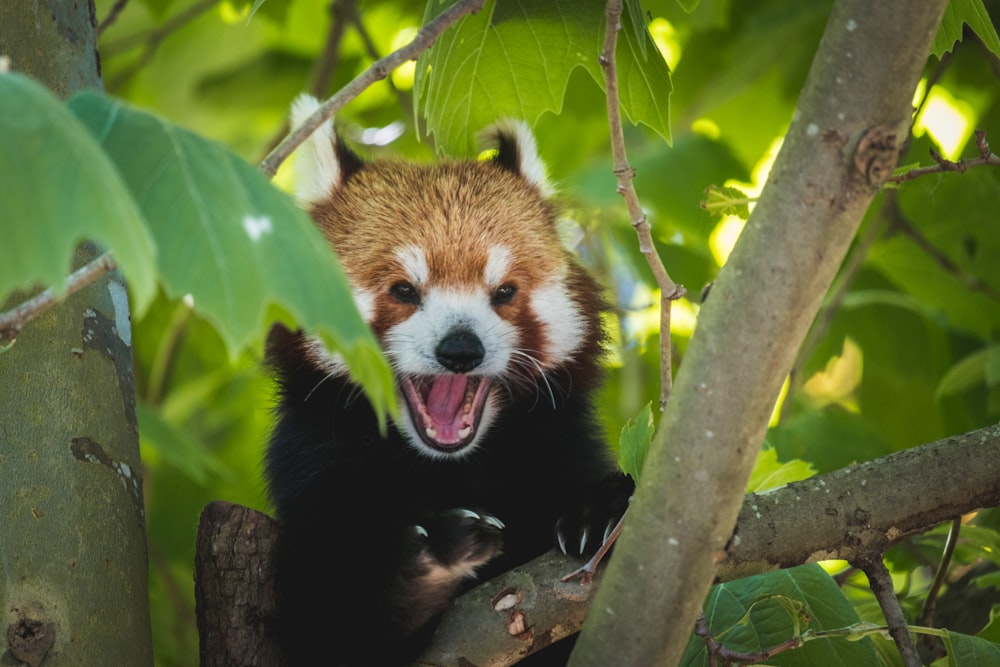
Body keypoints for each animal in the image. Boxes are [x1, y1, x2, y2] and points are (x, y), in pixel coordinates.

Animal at [266, 95, 632, 667]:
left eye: (503, 292)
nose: (461, 350)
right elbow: (332, 627)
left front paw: (602, 509)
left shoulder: (559, 446)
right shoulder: (315, 473)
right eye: (403, 290)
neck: (449, 466)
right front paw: (423, 572)